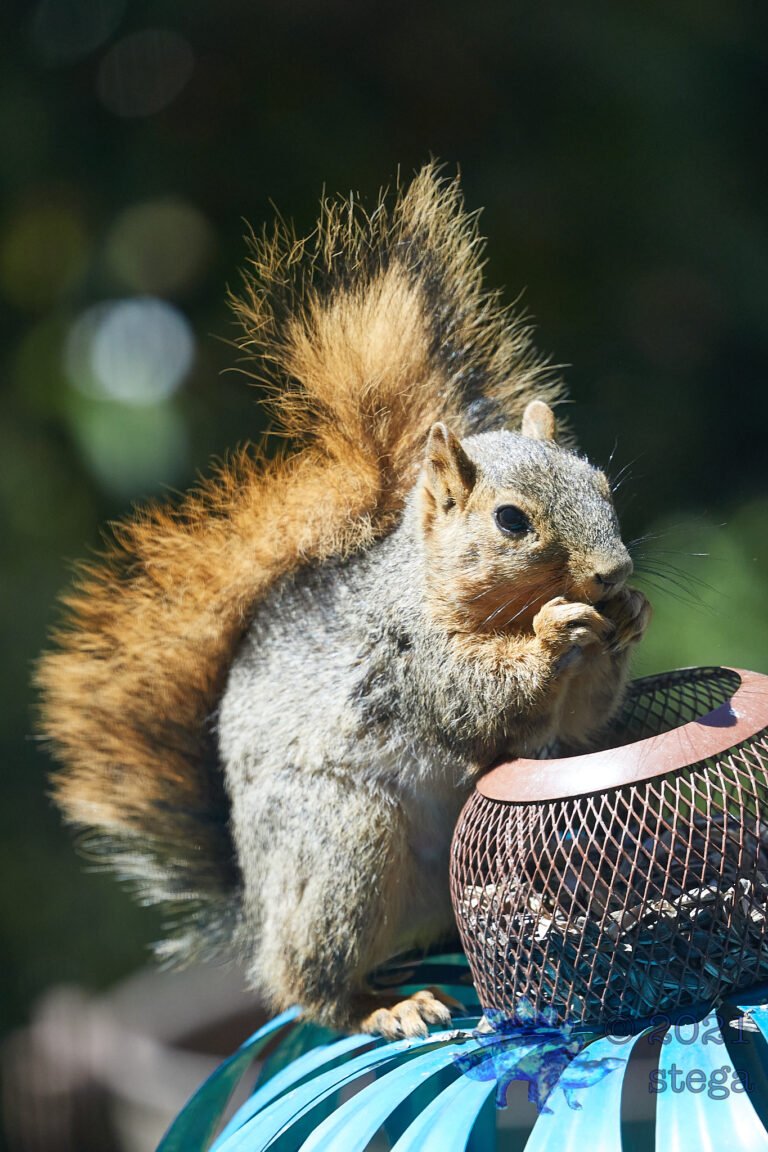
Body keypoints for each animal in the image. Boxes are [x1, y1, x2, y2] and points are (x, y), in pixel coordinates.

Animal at [37, 164, 651, 1040]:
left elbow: (580, 725)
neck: (427, 584)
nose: (612, 570)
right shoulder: (407, 657)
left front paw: (627, 617)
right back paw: (386, 1007)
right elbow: (477, 698)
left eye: (601, 483)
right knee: (307, 984)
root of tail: (258, 909)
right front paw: (551, 631)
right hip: (340, 839)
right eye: (510, 520)